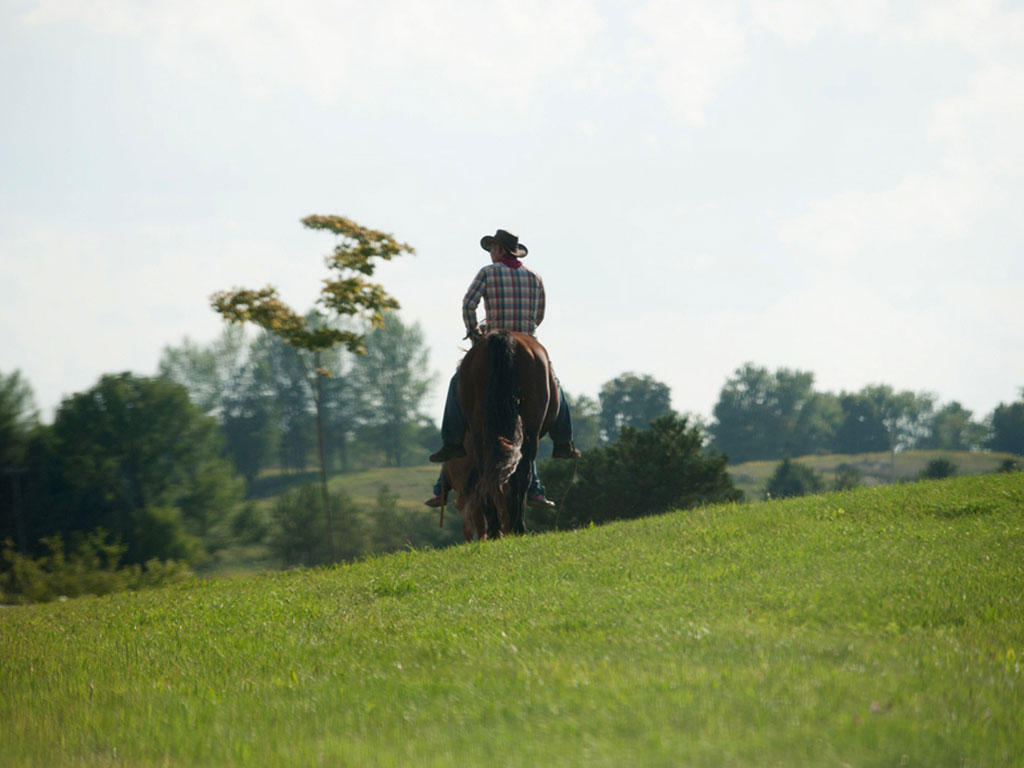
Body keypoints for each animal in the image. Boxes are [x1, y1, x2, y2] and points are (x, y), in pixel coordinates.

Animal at [442, 330, 558, 540]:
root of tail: (504, 337)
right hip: (531, 432)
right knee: (521, 475)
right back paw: (516, 526)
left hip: (480, 431)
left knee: (488, 476)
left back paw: (495, 528)